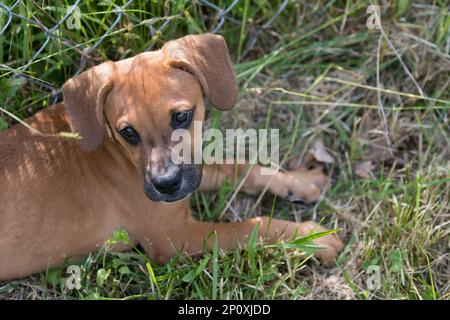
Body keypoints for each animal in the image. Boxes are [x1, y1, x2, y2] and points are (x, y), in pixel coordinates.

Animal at [0, 33, 342, 282]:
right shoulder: (175, 238)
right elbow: (252, 227)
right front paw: (312, 237)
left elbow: (241, 168)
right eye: (128, 132)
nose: (165, 185)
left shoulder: (193, 174)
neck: (115, 153)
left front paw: (300, 181)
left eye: (181, 116)